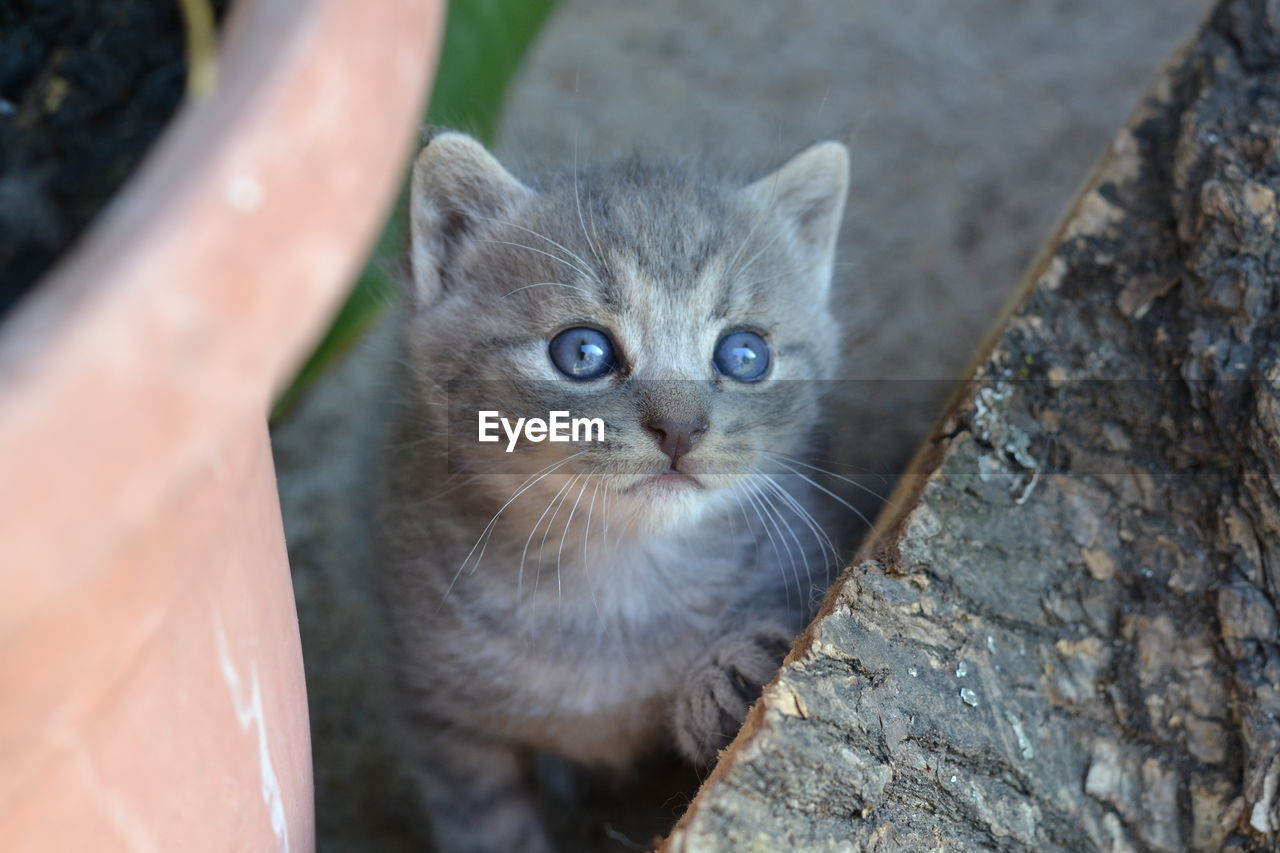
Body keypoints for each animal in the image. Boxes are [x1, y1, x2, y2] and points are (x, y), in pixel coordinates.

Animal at [378, 128, 855, 850]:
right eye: (583, 352)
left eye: (745, 355)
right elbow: (489, 825)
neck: (618, 579)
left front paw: (733, 672)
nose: (680, 427)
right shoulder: (439, 715)